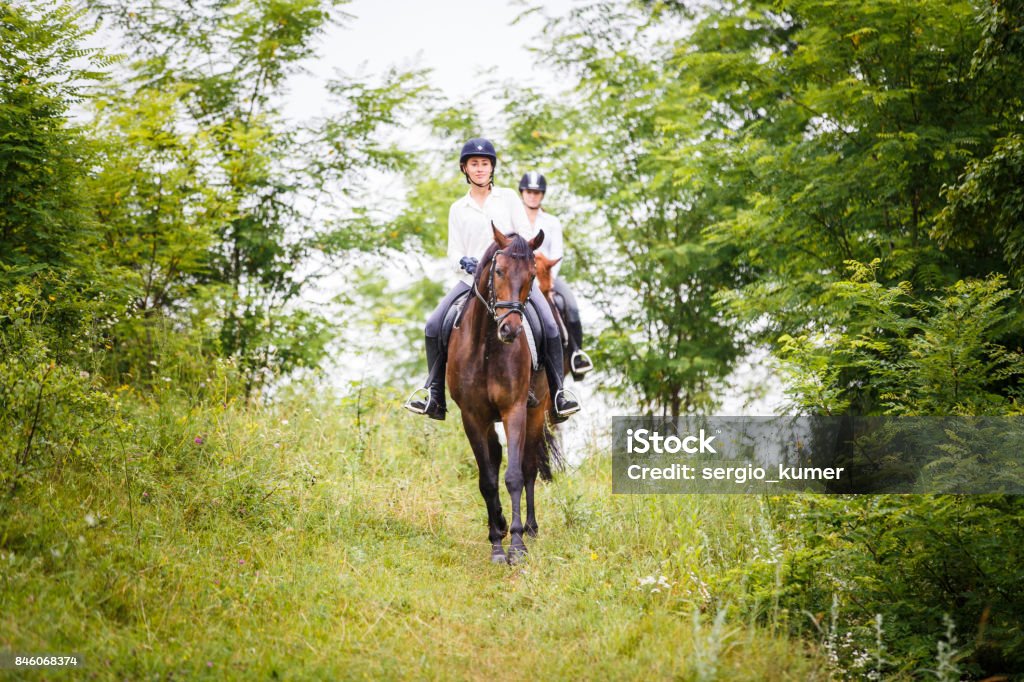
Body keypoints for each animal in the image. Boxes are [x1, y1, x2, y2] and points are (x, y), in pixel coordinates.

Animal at [446, 225, 561, 561]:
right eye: (498, 271)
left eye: (531, 276)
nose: (510, 330)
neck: (486, 345)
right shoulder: (472, 417)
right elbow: (487, 479)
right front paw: (497, 543)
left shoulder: (515, 410)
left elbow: (514, 476)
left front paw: (517, 545)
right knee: (495, 459)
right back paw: (496, 522)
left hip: (536, 411)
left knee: (529, 466)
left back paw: (531, 528)